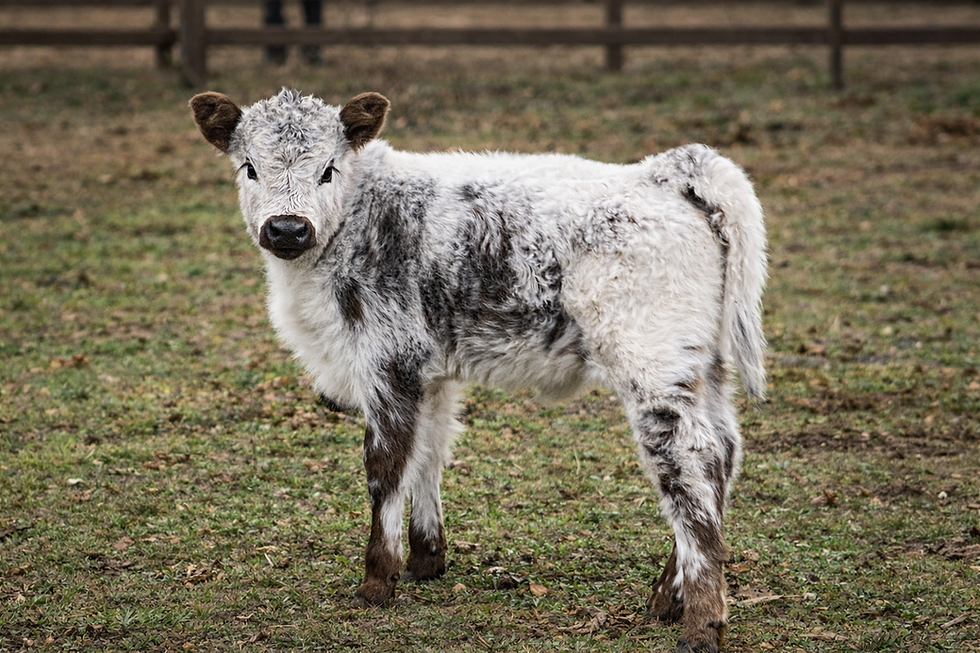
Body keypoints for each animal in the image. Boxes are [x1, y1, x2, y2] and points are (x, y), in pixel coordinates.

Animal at [190, 88, 767, 652]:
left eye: (328, 169)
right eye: (249, 167)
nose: (287, 229)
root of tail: (664, 171)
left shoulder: (387, 360)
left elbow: (386, 466)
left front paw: (377, 581)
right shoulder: (430, 373)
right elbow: (429, 451)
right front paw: (425, 560)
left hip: (653, 363)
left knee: (690, 465)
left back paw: (701, 624)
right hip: (703, 363)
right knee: (724, 453)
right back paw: (666, 598)